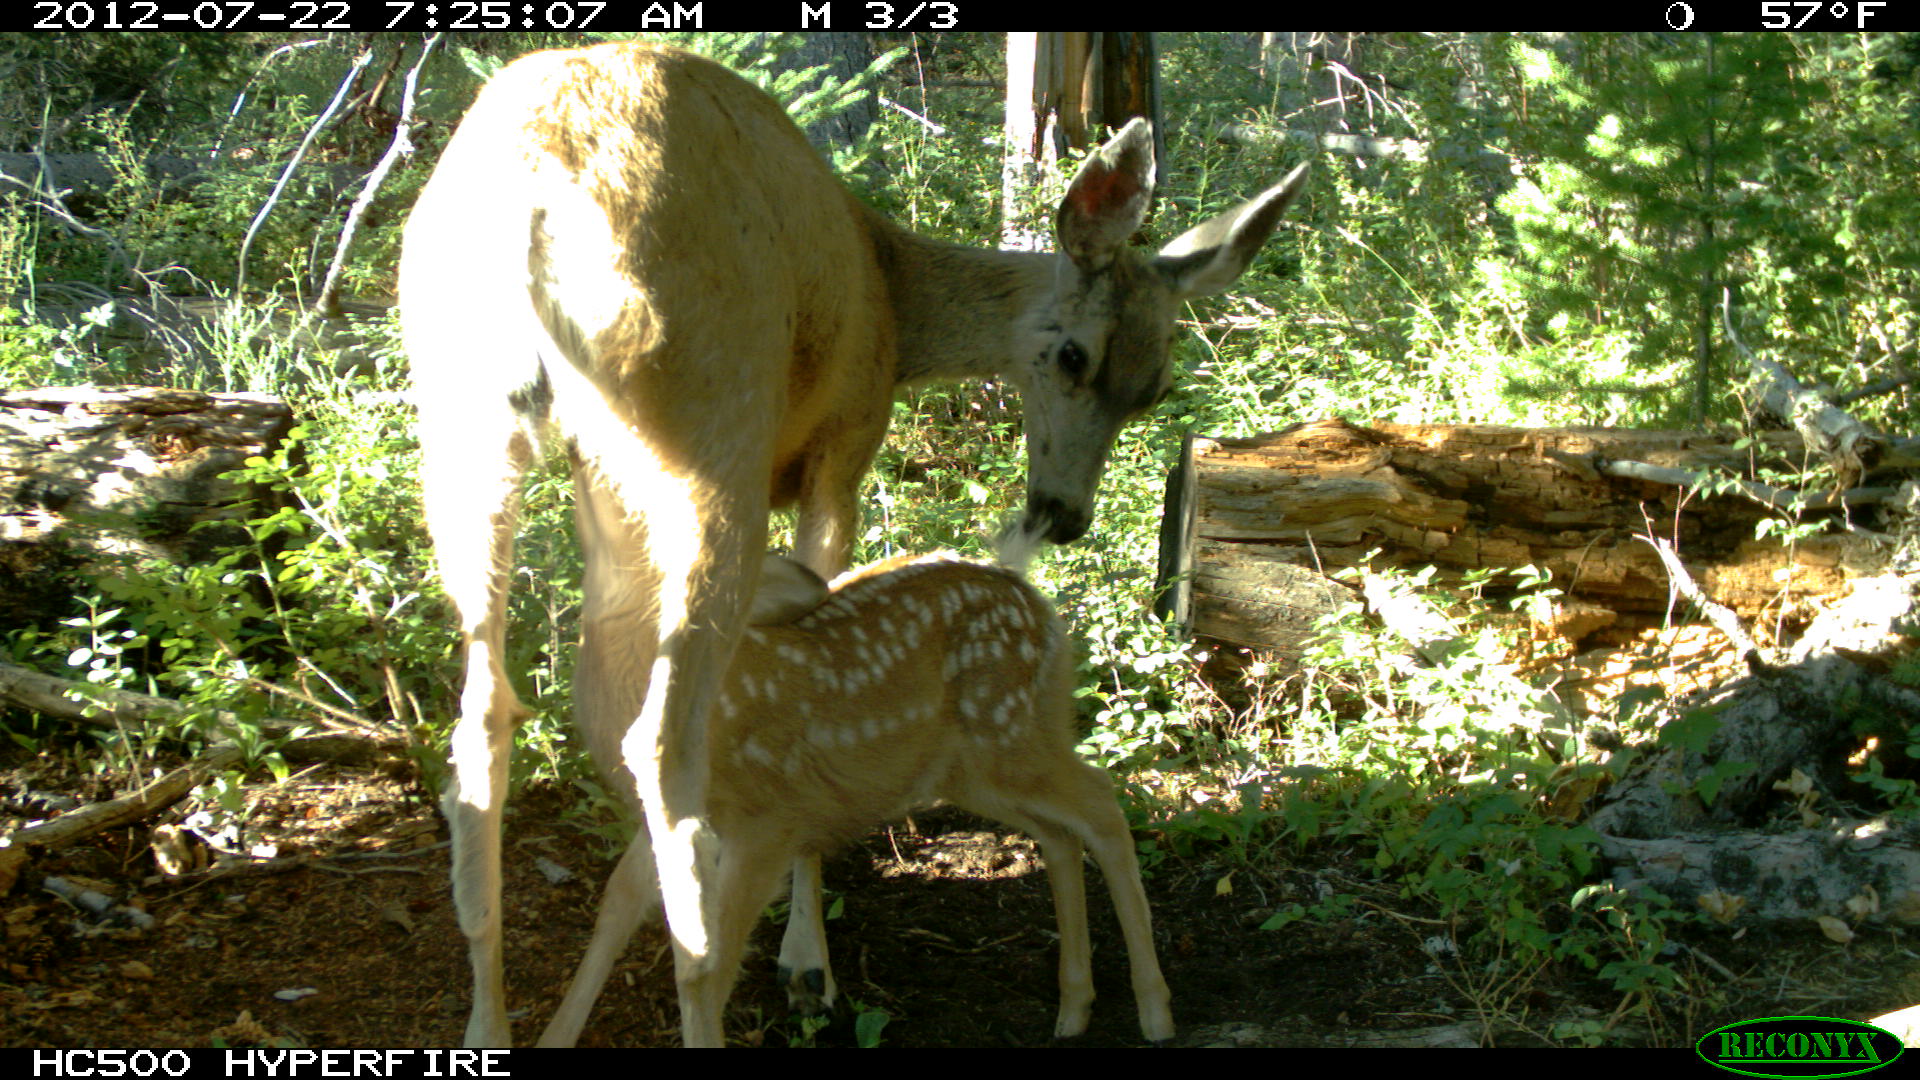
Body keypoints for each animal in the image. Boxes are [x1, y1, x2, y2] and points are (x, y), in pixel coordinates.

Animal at [537, 549, 1176, 1046]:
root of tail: (1040, 606)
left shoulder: (767, 820)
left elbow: (703, 968)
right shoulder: (670, 817)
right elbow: (618, 903)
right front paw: (553, 1036)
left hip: (1003, 735)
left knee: (1102, 803)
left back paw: (1155, 1012)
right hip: (972, 763)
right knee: (1061, 831)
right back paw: (1074, 1008)